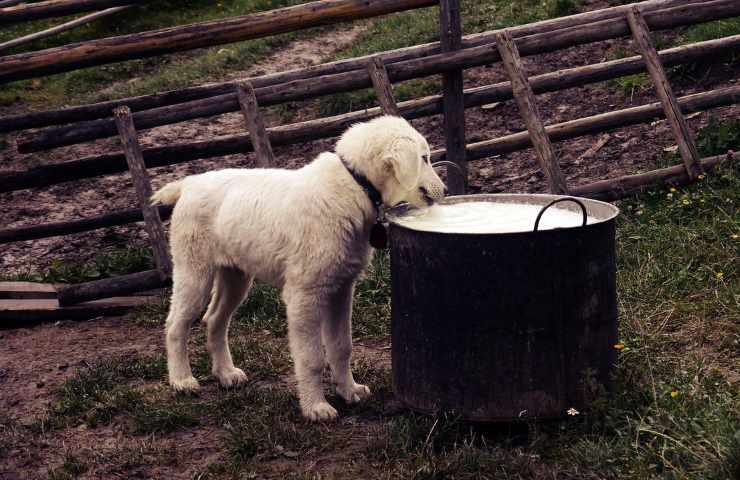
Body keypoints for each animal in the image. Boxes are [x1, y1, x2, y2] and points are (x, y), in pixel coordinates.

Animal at [150, 115, 446, 420]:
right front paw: (316, 407)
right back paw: (182, 380)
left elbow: (342, 346)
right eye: (424, 158)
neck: (355, 184)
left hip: (235, 275)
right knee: (176, 324)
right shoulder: (305, 295)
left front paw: (349, 391)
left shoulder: (342, 287)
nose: (444, 191)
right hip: (193, 270)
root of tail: (189, 183)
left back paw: (226, 374)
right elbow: (312, 357)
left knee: (214, 319)